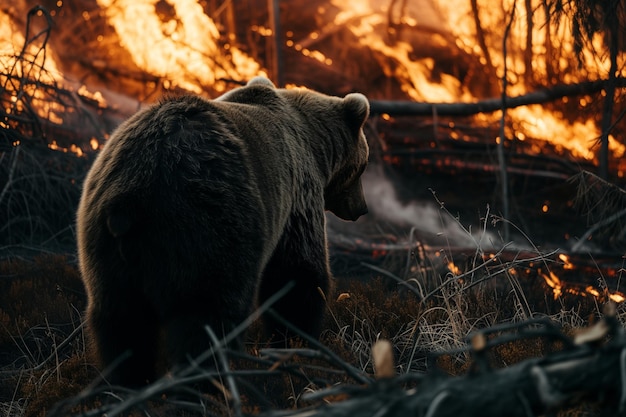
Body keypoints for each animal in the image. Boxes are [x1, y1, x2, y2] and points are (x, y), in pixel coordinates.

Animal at [78, 76, 370, 386]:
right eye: (363, 166)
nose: (361, 208)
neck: (314, 144)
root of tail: (135, 191)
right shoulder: (296, 197)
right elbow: (297, 274)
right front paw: (296, 341)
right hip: (209, 222)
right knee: (207, 315)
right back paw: (212, 379)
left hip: (104, 246)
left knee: (121, 323)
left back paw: (129, 381)